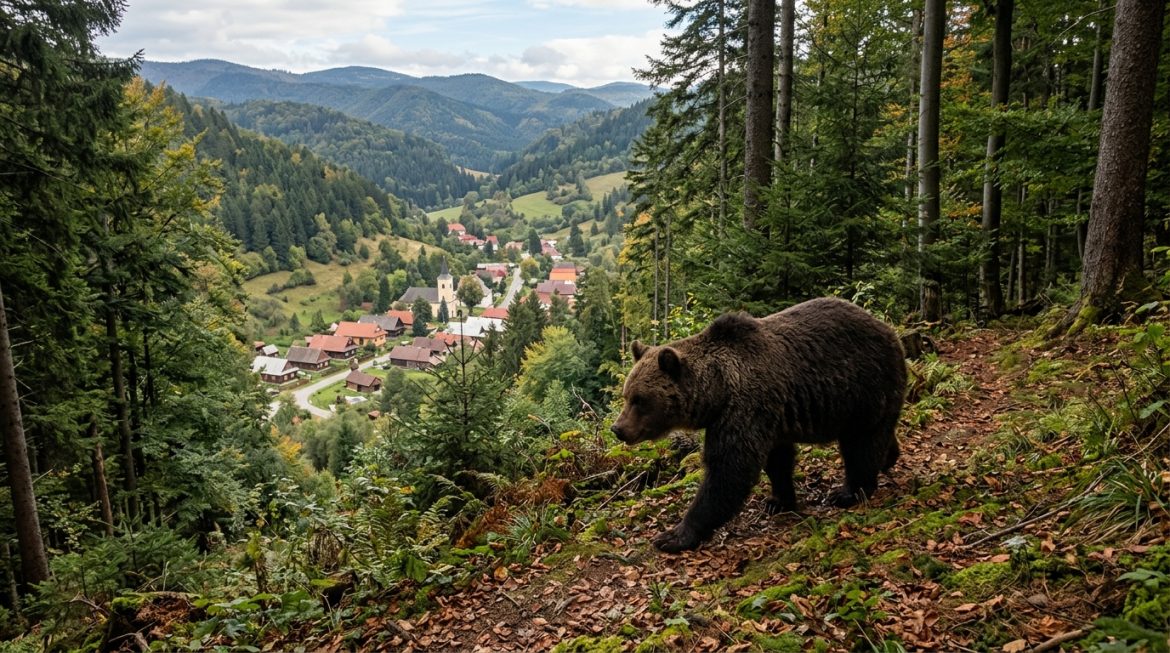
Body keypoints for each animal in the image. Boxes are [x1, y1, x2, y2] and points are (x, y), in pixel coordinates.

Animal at [610, 297, 907, 553]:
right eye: (627, 395)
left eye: (639, 399)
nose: (618, 429)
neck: (717, 391)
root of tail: (888, 329)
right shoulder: (772, 416)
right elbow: (777, 460)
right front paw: (778, 500)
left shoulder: (746, 408)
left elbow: (730, 469)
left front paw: (674, 535)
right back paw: (888, 457)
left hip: (865, 387)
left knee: (861, 443)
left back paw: (847, 493)